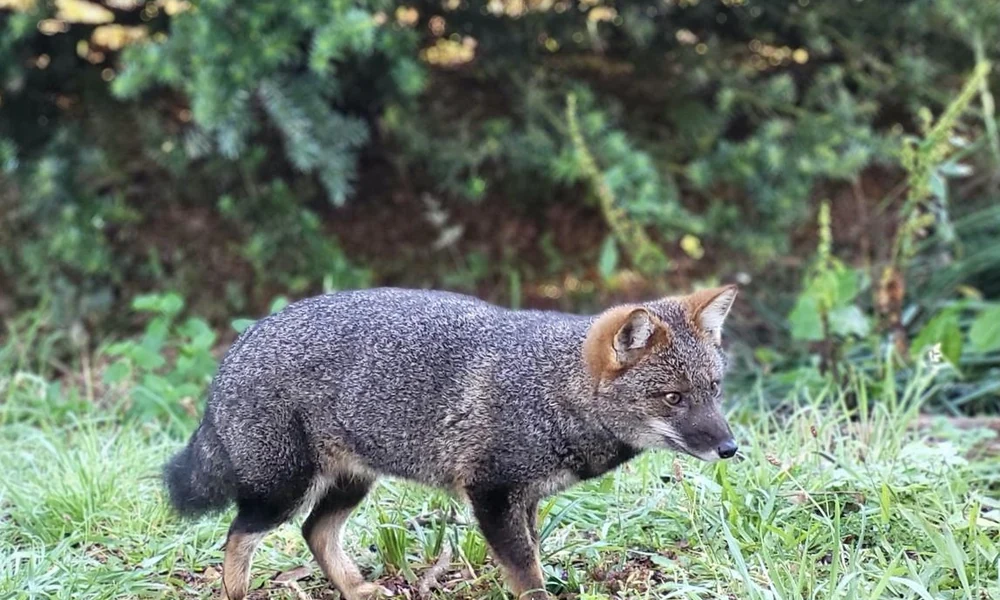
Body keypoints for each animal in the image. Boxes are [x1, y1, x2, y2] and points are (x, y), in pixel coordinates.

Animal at [164, 285, 740, 600]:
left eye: (714, 390)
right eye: (673, 398)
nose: (730, 449)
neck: (549, 387)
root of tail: (237, 347)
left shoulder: (525, 499)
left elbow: (530, 558)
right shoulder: (492, 493)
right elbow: (526, 572)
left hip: (350, 483)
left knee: (314, 532)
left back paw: (355, 589)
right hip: (284, 490)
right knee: (238, 535)